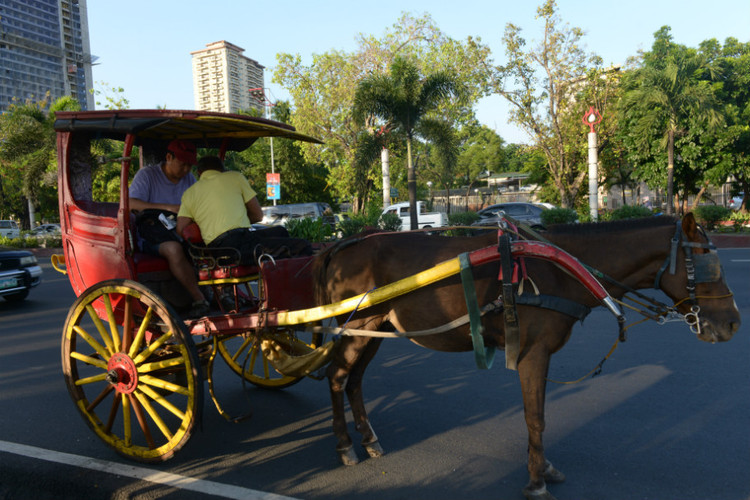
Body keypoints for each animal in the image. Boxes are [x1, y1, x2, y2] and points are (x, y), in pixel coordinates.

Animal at [310, 215, 740, 500]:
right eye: (706, 261)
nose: (733, 322)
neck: (562, 269)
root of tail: (340, 245)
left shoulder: (540, 355)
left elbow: (540, 412)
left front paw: (543, 467)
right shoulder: (533, 353)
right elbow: (536, 416)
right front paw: (536, 480)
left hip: (374, 329)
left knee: (354, 380)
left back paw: (369, 439)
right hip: (356, 325)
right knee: (336, 377)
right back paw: (345, 446)